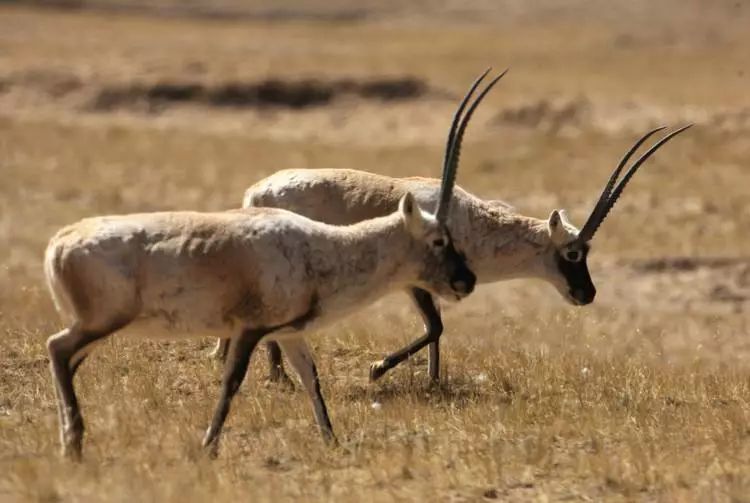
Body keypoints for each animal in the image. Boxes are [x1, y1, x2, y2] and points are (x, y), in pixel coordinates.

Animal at [42, 70, 512, 460]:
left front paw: (332, 441)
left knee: (67, 358)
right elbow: (232, 381)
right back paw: (73, 444)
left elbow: (312, 379)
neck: (321, 247)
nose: (465, 281)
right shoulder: (250, 329)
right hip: (102, 322)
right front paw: (209, 446)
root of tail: (60, 242)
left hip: (97, 328)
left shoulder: (289, 333)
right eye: (439, 239)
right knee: (58, 349)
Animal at [212, 93, 692, 382]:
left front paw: (433, 381)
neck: (470, 221)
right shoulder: (419, 281)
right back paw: (277, 376)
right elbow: (436, 326)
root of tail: (258, 190)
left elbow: (438, 330)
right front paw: (378, 369)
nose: (586, 294)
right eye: (573, 253)